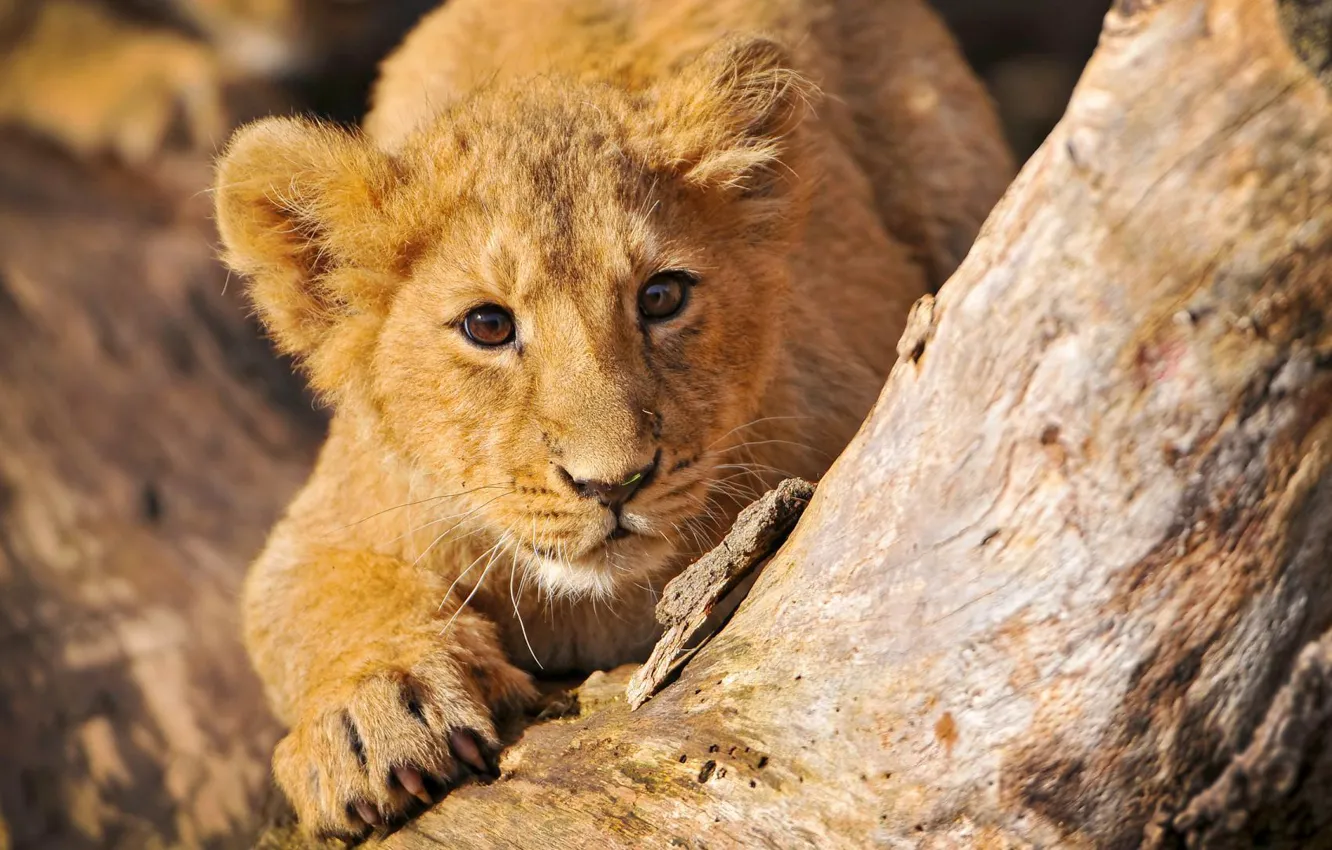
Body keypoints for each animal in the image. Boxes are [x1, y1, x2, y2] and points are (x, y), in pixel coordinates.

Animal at [213, 0, 1013, 838]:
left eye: (661, 296)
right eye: (488, 325)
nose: (614, 485)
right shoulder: (332, 515)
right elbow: (315, 599)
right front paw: (374, 715)